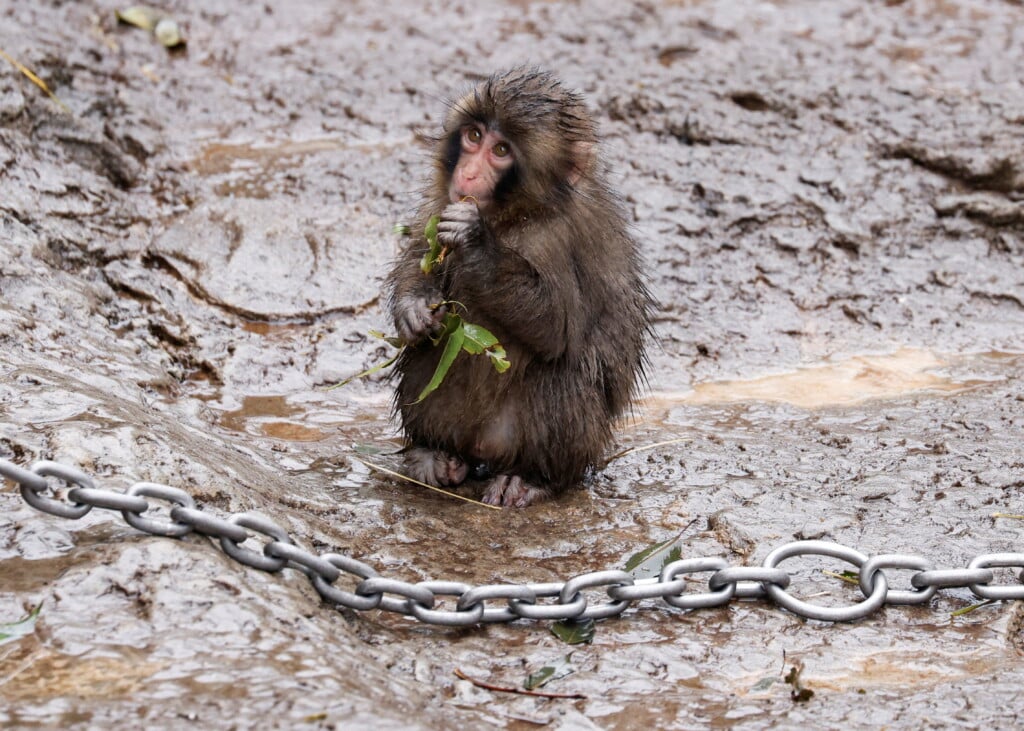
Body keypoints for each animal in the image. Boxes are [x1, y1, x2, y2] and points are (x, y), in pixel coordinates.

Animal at [387, 67, 651, 508]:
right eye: (474, 136)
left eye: (501, 150)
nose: (468, 174)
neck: (515, 215)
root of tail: (482, 451)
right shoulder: (443, 201)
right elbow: (422, 253)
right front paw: (414, 309)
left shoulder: (556, 239)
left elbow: (556, 327)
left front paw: (475, 243)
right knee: (433, 349)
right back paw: (434, 453)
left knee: (561, 377)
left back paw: (532, 478)